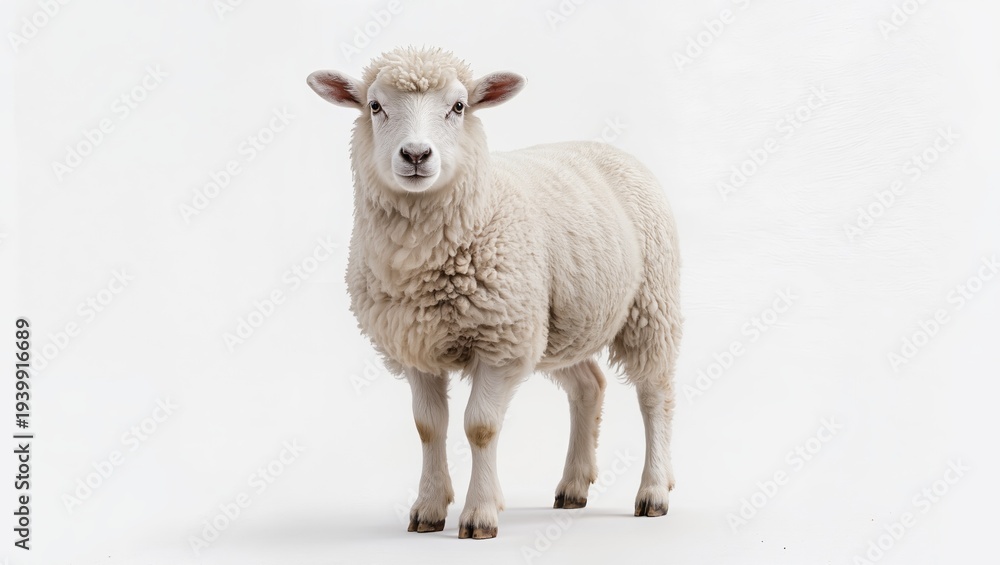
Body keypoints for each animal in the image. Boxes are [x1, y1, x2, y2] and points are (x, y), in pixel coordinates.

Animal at [307, 47, 682, 539]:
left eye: (459, 106)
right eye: (374, 106)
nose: (416, 154)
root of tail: (608, 149)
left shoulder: (500, 342)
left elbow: (480, 427)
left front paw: (480, 513)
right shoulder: (416, 346)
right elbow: (428, 426)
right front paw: (428, 508)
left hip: (649, 306)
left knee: (654, 394)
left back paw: (654, 491)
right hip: (558, 325)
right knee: (589, 386)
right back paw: (573, 486)